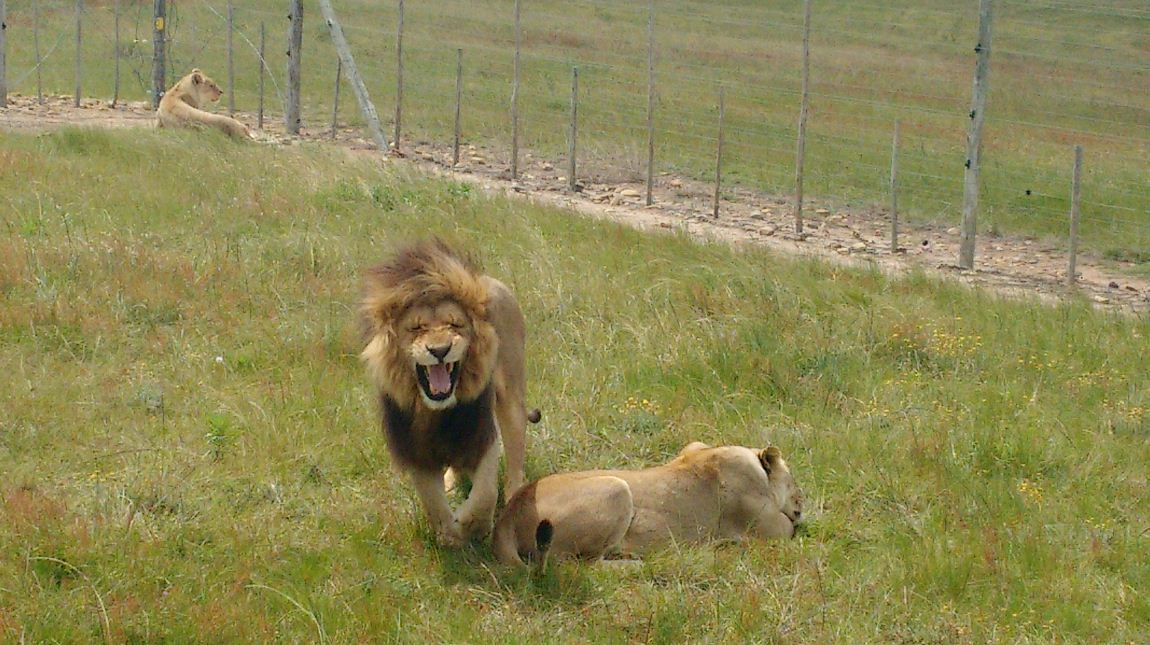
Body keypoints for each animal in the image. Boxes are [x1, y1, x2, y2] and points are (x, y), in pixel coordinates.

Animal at [360, 239, 539, 546]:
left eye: (455, 325)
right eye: (416, 328)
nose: (440, 350)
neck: (436, 412)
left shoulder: (482, 434)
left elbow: (485, 492)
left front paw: (473, 525)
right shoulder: (414, 449)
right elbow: (431, 500)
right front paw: (448, 535)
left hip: (512, 398)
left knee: (515, 459)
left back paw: (514, 498)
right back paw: (452, 485)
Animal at [493, 442, 803, 566]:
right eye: (794, 481)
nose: (803, 500)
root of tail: (509, 512)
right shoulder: (771, 530)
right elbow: (791, 530)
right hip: (615, 487)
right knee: (579, 565)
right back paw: (638, 564)